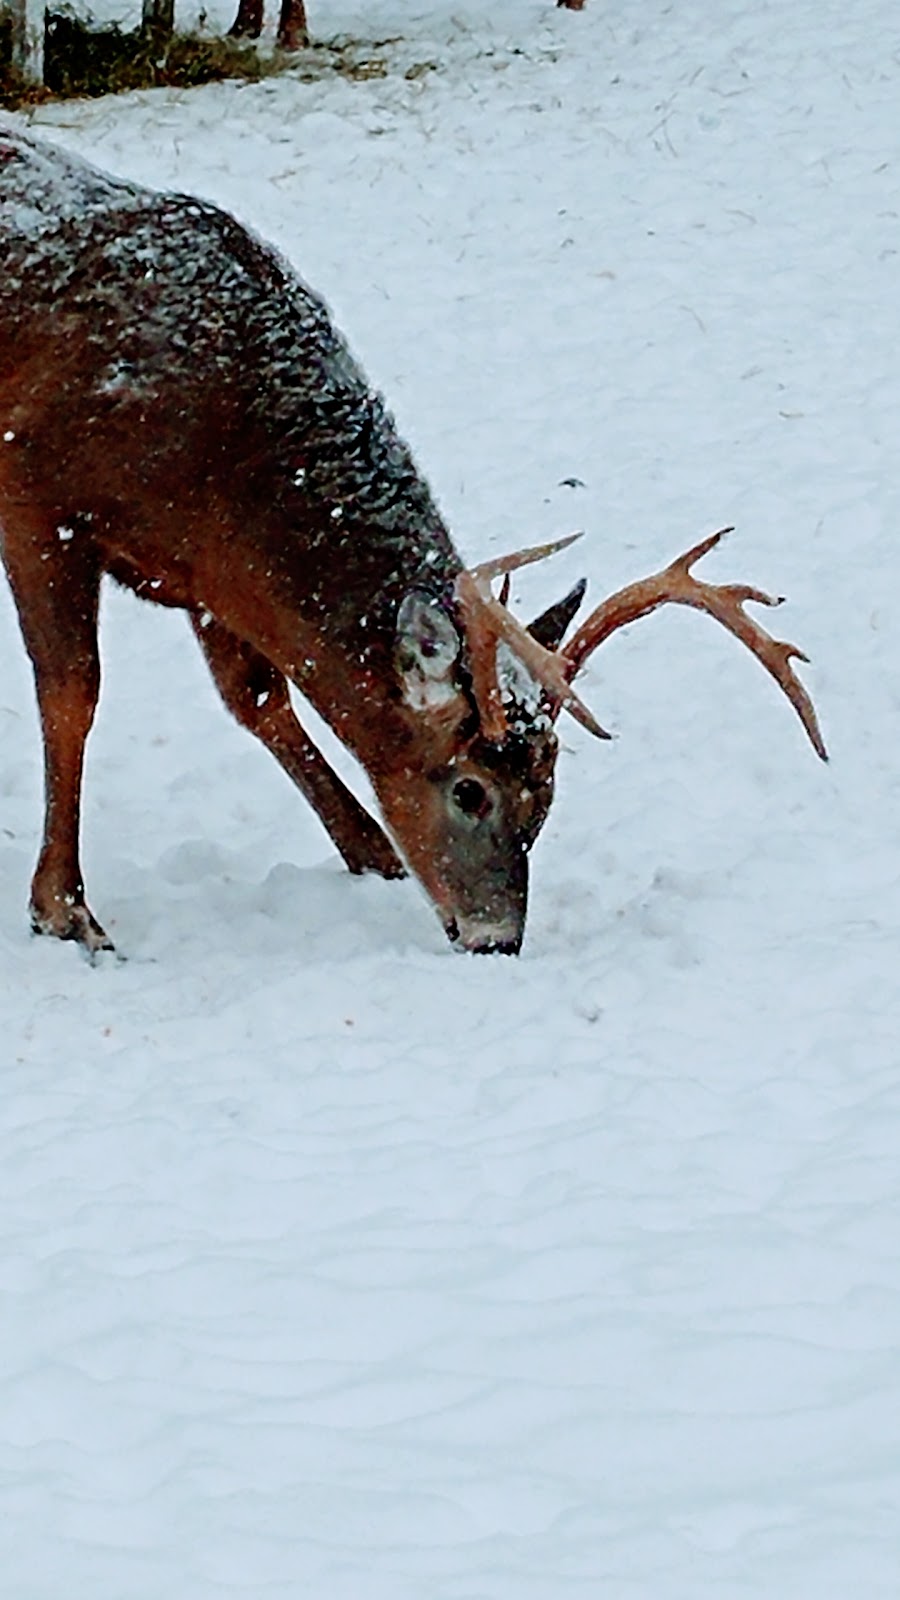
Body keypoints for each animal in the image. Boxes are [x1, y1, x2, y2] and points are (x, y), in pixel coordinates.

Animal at [0, 131, 826, 953]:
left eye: (548, 793)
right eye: (470, 790)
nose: (497, 938)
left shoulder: (203, 575)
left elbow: (258, 700)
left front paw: (371, 850)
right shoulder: (36, 500)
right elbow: (72, 691)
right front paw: (63, 908)